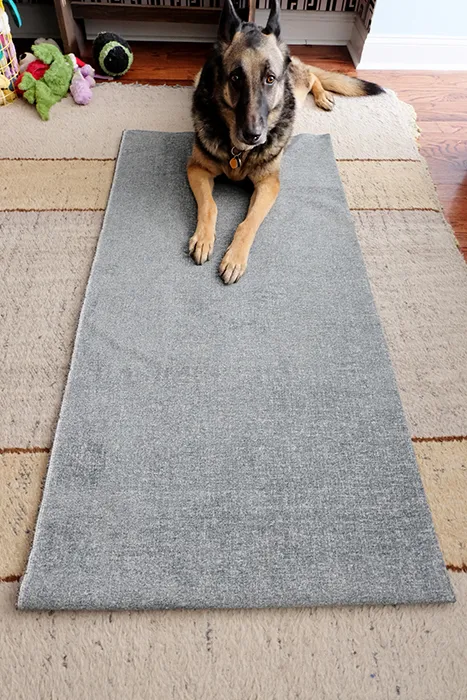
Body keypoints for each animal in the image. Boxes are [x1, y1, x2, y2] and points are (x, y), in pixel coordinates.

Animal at [188, 0, 382, 284]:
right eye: (235, 78)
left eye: (270, 79)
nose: (253, 135)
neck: (239, 152)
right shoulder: (197, 170)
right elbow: (210, 205)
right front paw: (203, 239)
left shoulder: (269, 185)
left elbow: (248, 223)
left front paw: (234, 258)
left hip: (297, 90)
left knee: (311, 76)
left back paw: (322, 96)